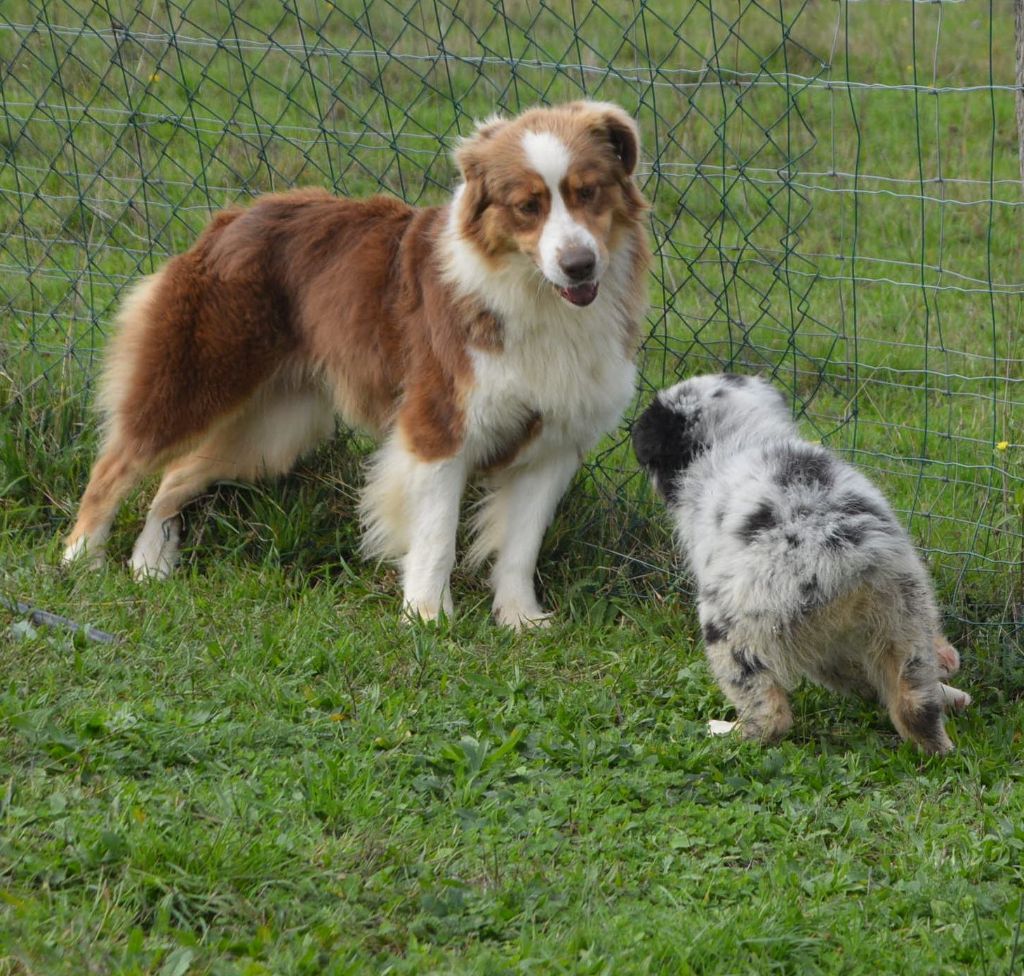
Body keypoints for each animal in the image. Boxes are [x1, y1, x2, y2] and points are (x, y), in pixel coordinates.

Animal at [61, 102, 647, 626]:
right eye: (528, 206)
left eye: (588, 192)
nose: (579, 265)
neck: (537, 297)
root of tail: (230, 217)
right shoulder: (439, 429)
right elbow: (437, 536)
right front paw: (428, 617)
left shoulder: (553, 444)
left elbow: (521, 547)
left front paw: (520, 620)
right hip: (195, 381)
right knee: (116, 467)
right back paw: (79, 561)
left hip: (273, 432)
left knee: (177, 474)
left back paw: (150, 564)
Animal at [630, 372, 966, 753]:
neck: (737, 439)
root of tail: (841, 562)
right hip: (902, 615)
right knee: (911, 701)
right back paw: (945, 716)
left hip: (737, 635)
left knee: (771, 716)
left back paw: (725, 732)